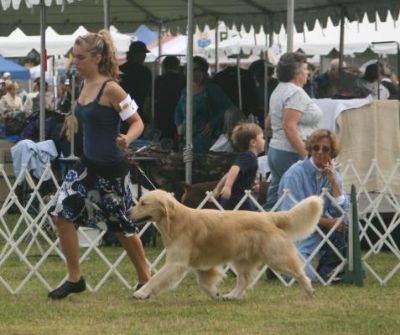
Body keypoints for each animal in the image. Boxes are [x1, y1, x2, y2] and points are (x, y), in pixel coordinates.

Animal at [131, 189, 322, 302]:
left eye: (143, 203)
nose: (127, 211)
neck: (176, 220)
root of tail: (268, 216)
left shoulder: (176, 263)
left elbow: (156, 278)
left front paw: (141, 293)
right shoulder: (203, 264)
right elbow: (204, 282)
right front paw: (214, 293)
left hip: (276, 257)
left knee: (299, 273)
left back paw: (310, 290)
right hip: (243, 260)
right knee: (244, 281)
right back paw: (232, 295)